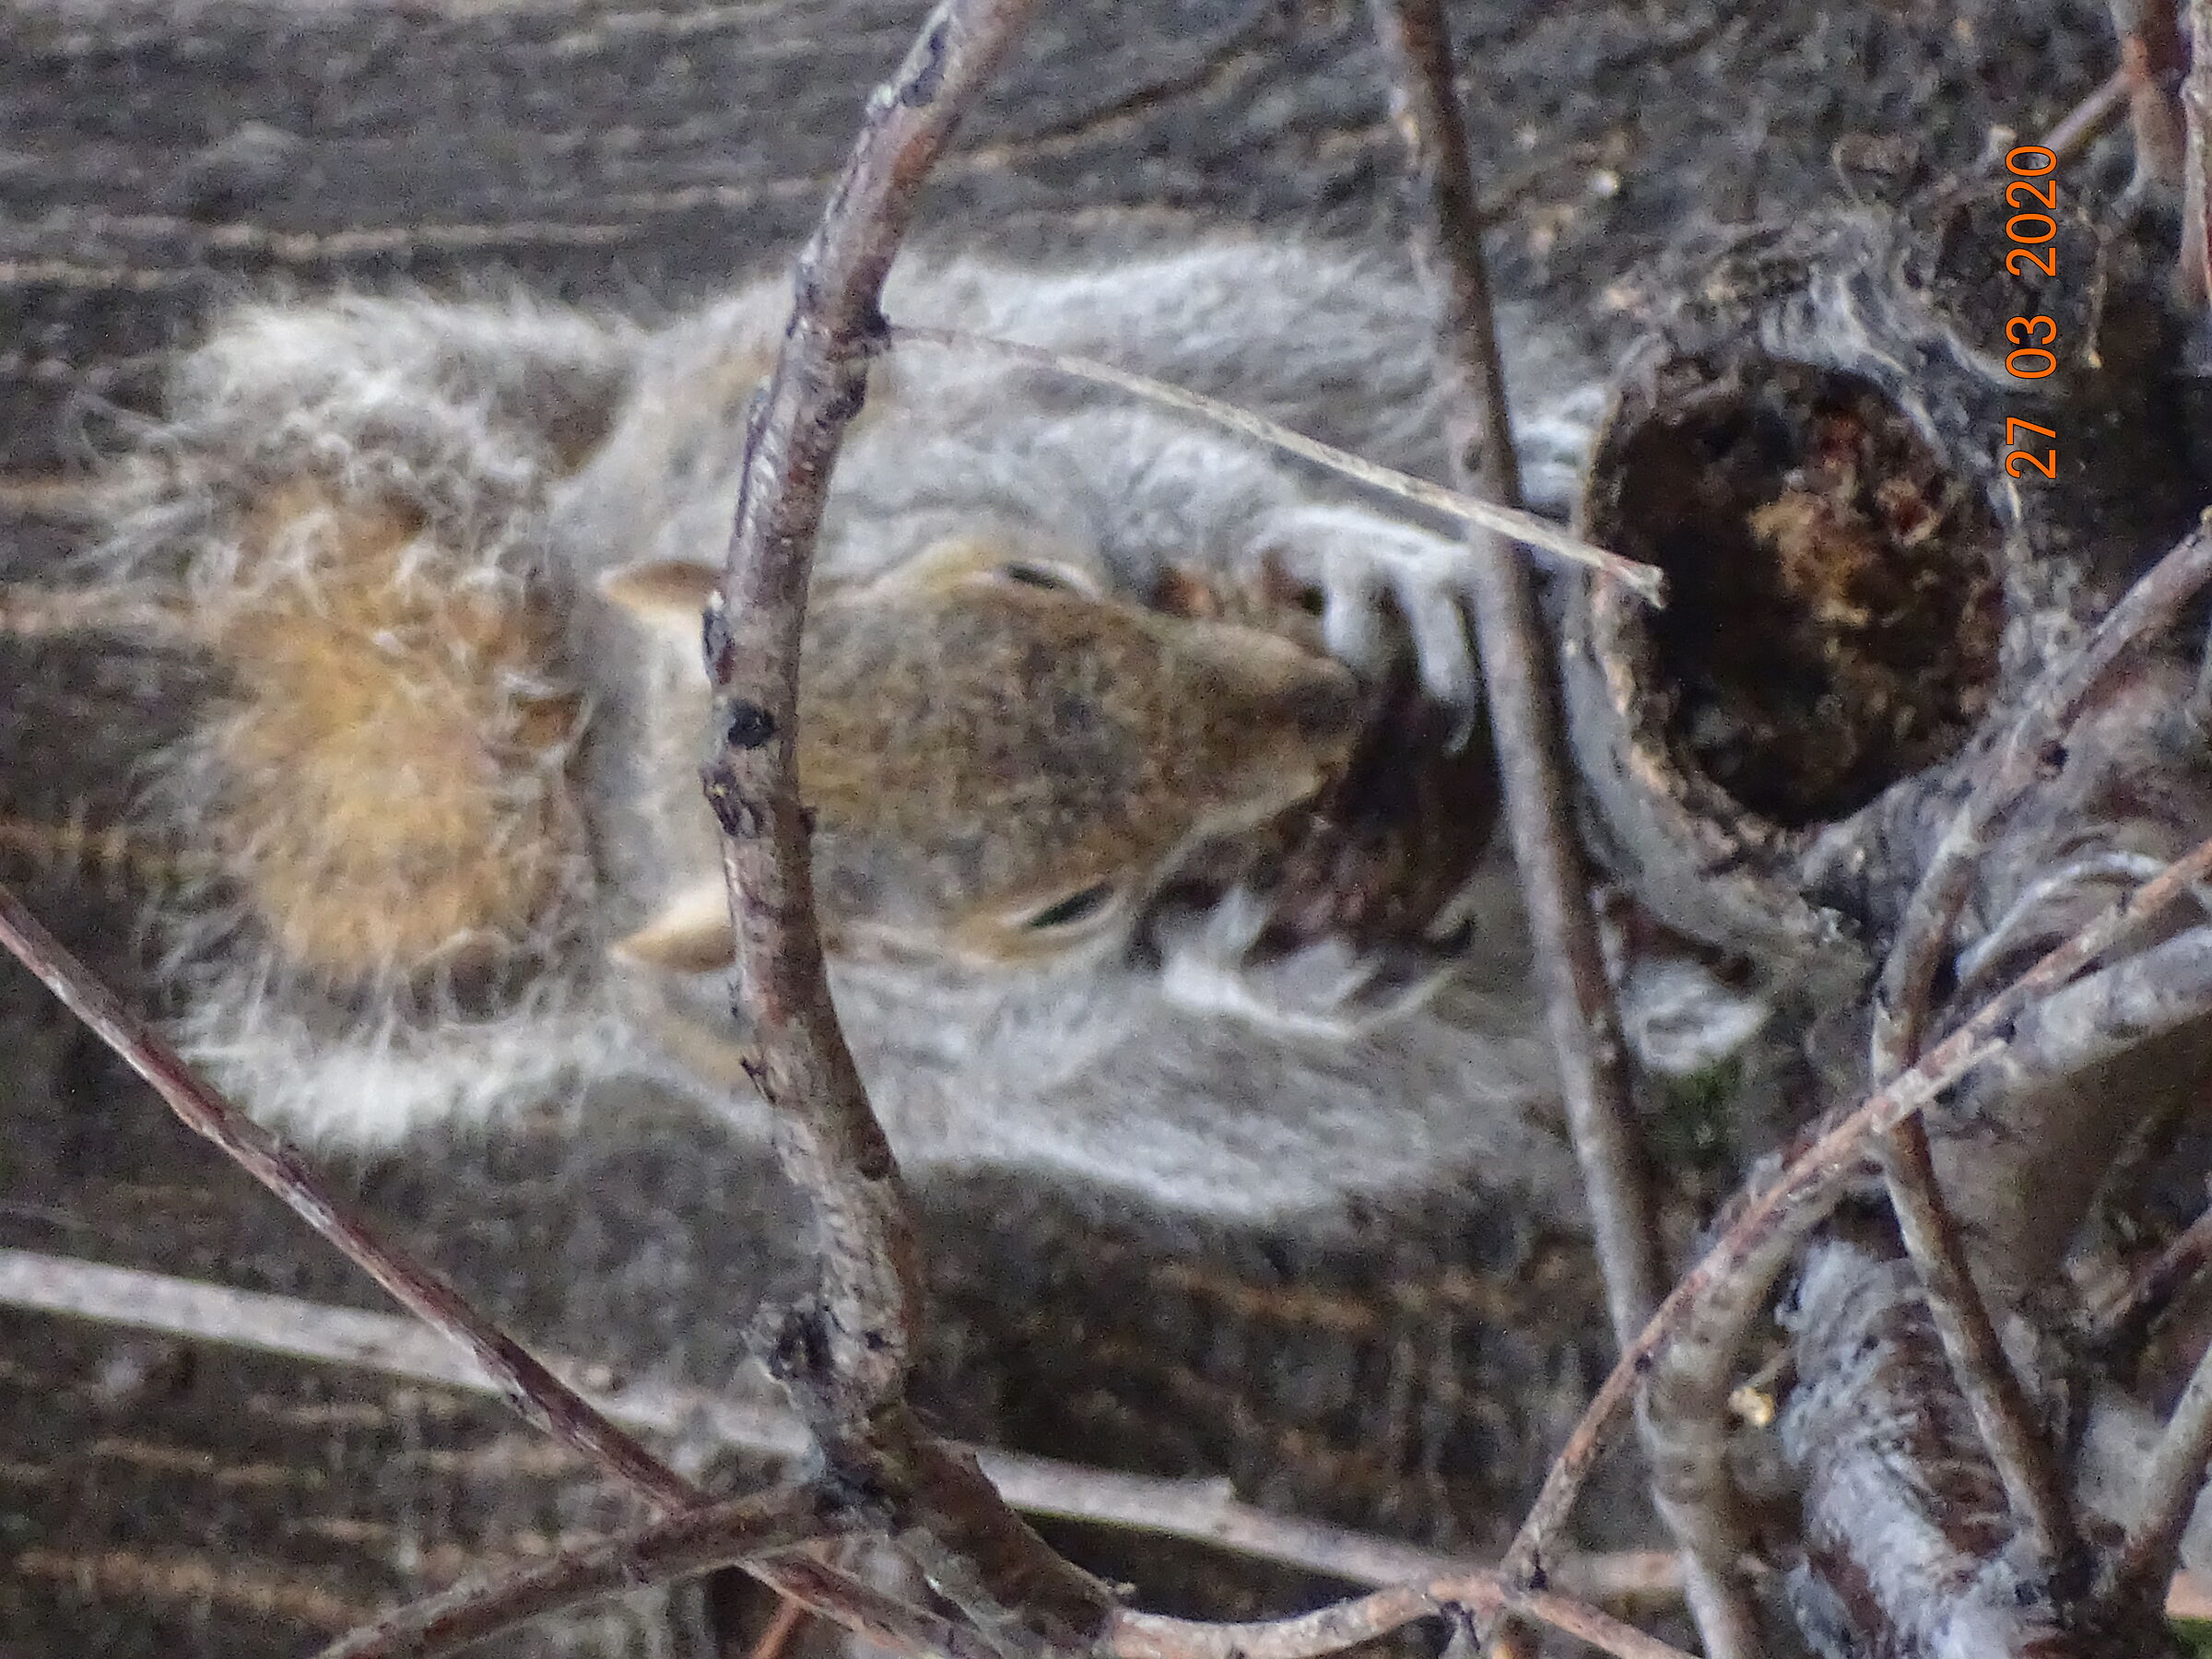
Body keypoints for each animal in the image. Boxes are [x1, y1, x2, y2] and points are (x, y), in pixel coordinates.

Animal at [4, 233, 1725, 1222]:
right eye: (1056, 908)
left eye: (1032, 578)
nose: (1322, 715)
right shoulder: (981, 1024)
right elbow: (1105, 1000)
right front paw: (1254, 952)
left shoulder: (1001, 442)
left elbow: (1165, 464)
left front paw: (1348, 559)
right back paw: (1638, 991)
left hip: (1256, 331)